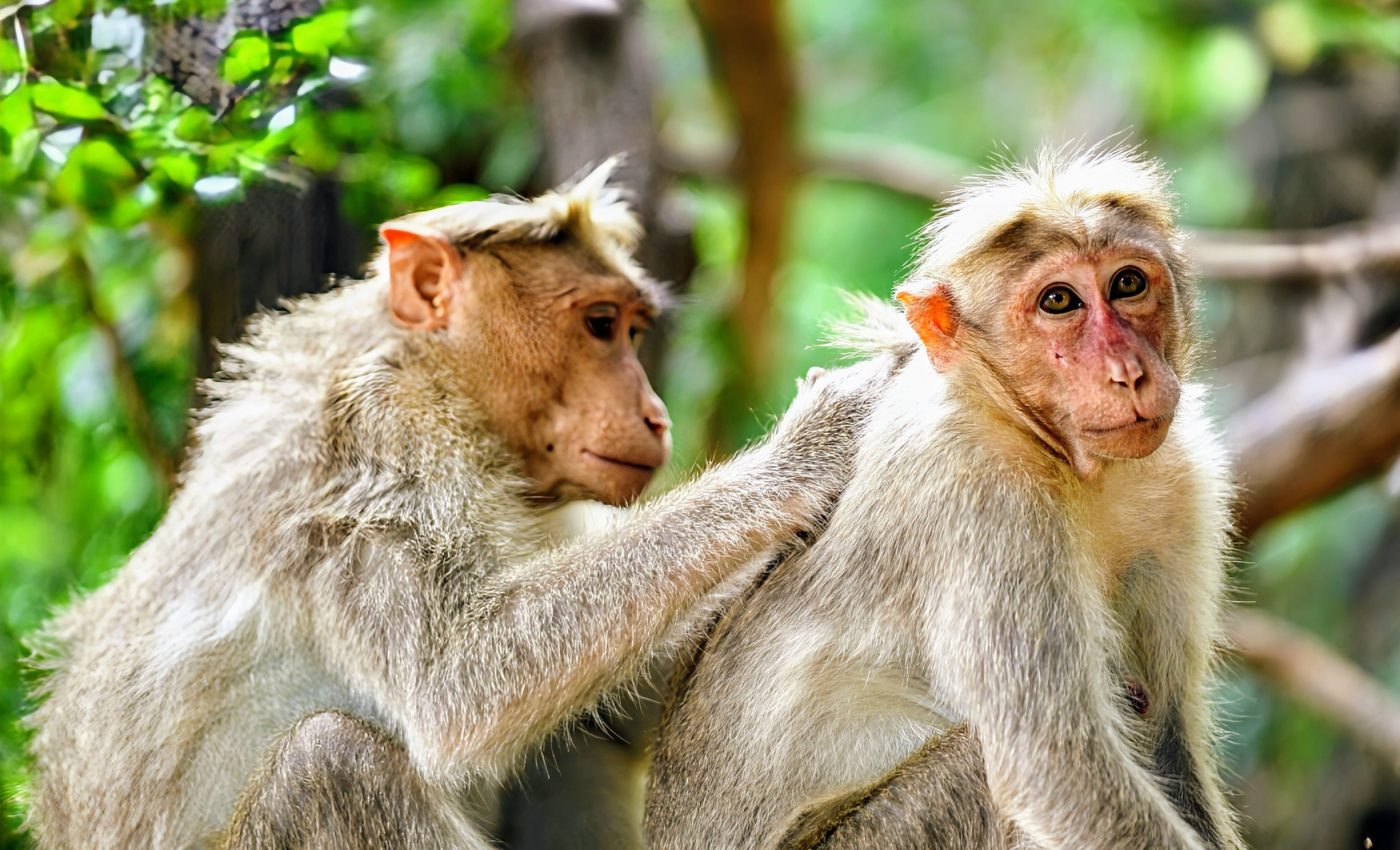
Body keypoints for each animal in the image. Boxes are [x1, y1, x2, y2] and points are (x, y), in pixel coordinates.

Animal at [23, 160, 886, 850]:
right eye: (600, 325)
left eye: (635, 330)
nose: (655, 415)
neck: (440, 378)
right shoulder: (380, 442)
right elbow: (459, 683)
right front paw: (808, 447)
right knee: (325, 762)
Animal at [644, 145, 1245, 850]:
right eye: (1059, 301)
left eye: (1128, 284)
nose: (1129, 372)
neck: (1057, 454)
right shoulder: (984, 493)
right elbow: (1054, 767)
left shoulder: (1183, 479)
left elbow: (1169, 730)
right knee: (973, 765)